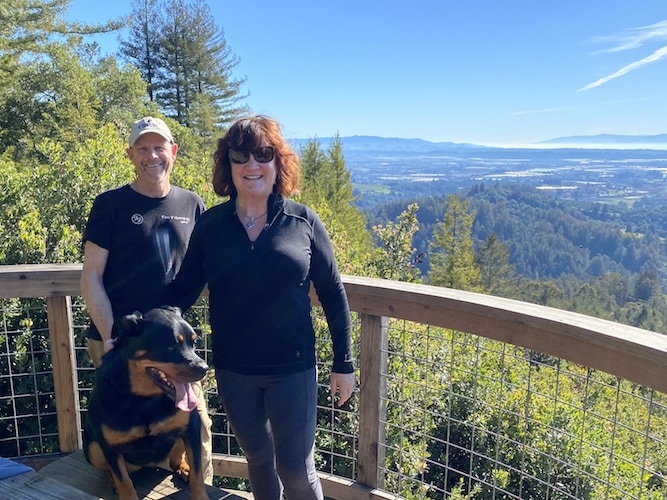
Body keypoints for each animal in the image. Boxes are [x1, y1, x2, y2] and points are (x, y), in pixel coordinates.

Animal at [84, 304, 209, 500]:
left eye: (193, 343)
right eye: (171, 346)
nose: (205, 368)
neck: (145, 401)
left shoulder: (191, 428)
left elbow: (198, 474)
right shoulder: (109, 446)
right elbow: (124, 481)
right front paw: (122, 488)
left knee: (176, 459)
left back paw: (184, 469)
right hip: (92, 448)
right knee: (108, 469)